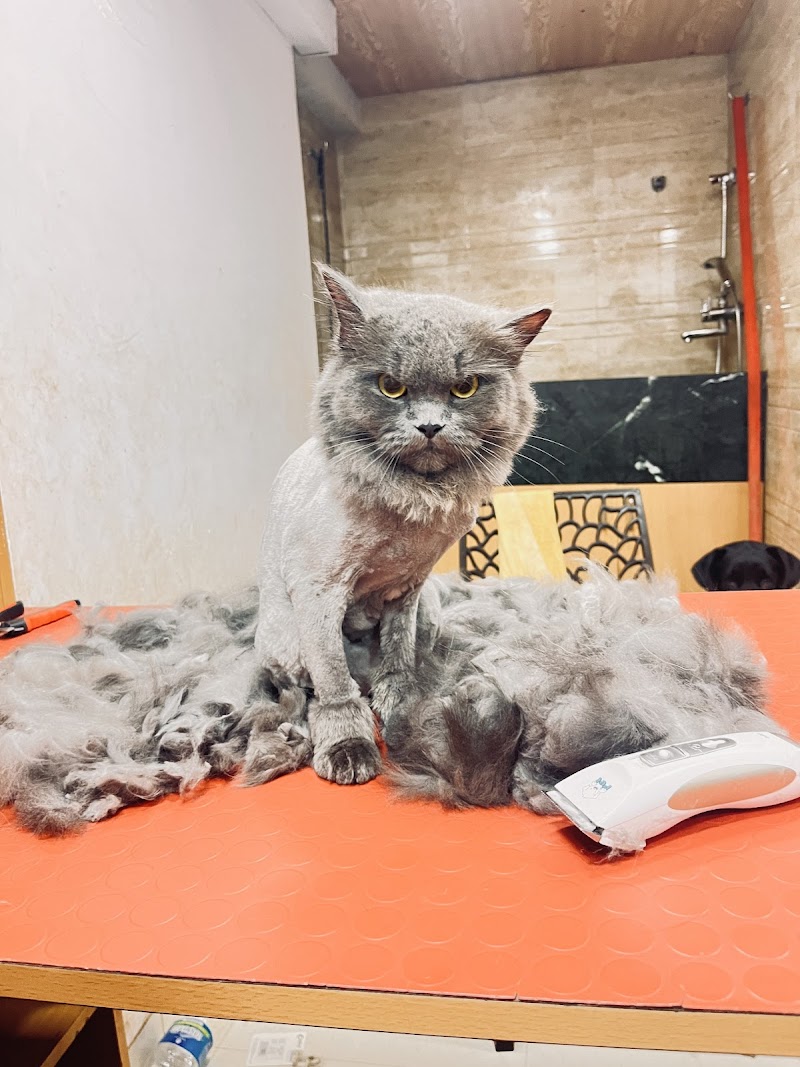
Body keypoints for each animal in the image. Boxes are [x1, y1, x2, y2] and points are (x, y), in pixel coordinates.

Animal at [254, 265, 550, 786]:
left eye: (465, 388)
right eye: (390, 386)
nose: (429, 427)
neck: (408, 517)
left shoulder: (407, 588)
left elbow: (397, 654)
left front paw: (399, 703)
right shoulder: (319, 591)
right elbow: (333, 682)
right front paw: (348, 745)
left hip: (430, 609)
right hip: (286, 638)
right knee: (304, 687)